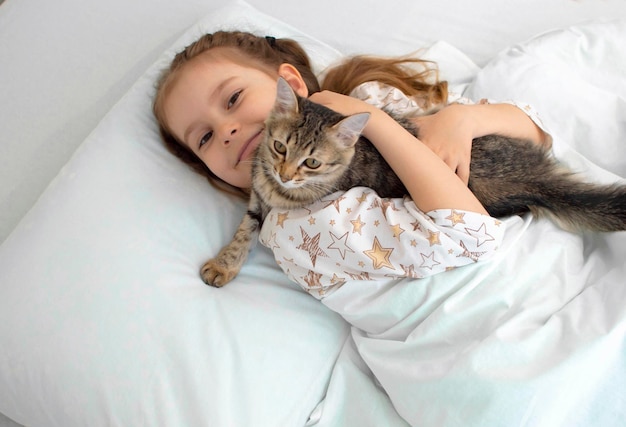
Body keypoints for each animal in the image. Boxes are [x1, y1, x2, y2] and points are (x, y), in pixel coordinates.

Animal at [201, 79, 624, 290]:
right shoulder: (258, 200)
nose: (285, 173)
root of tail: (534, 176)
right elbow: (244, 232)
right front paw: (225, 264)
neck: (274, 187)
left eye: (312, 162)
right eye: (279, 147)